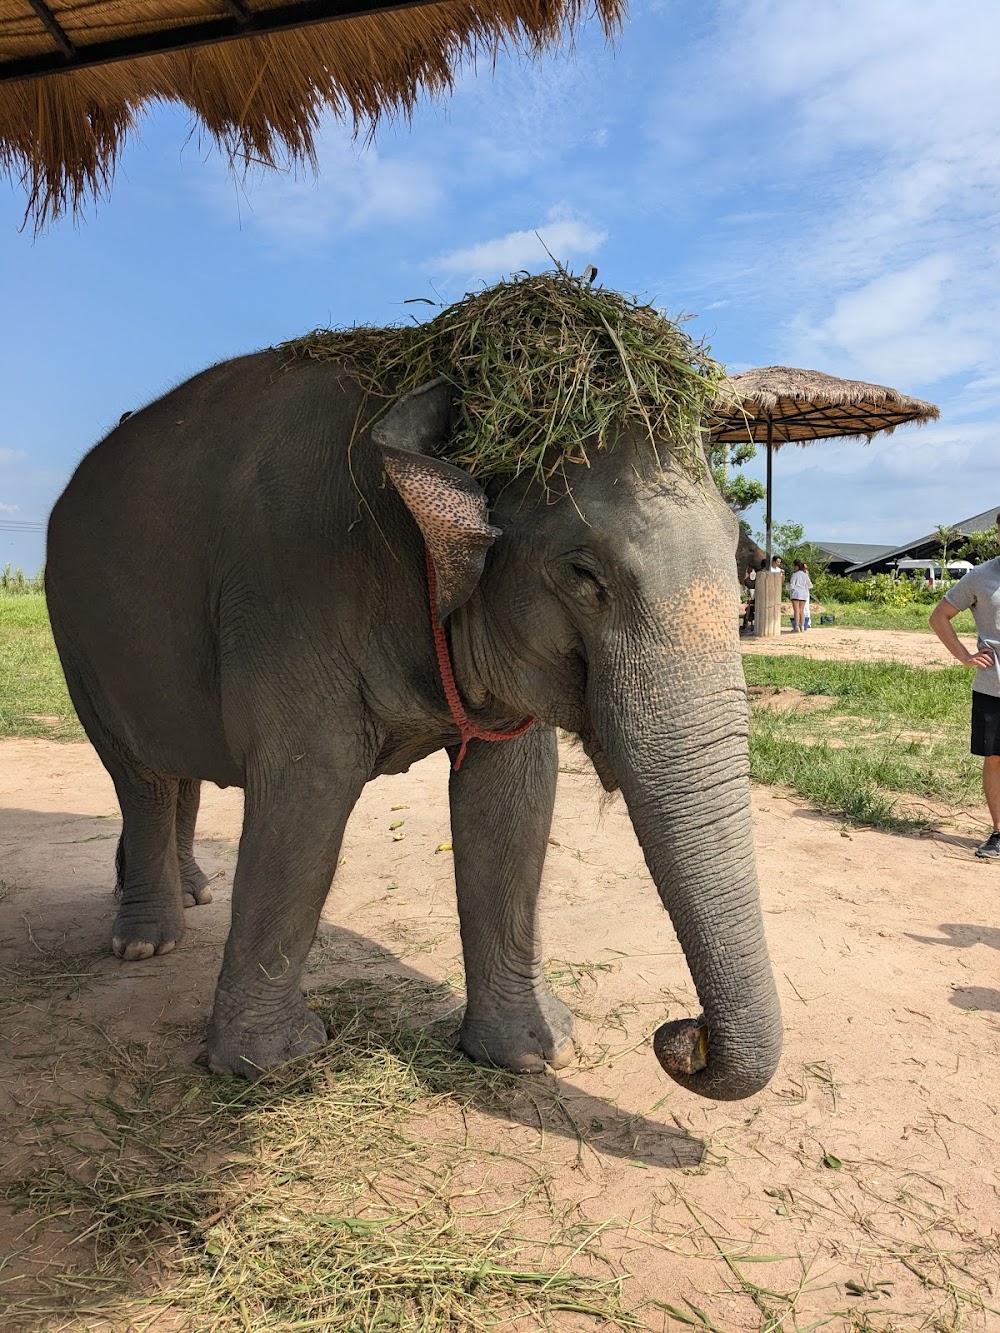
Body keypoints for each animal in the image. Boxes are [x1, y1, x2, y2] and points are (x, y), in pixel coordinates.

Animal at [47, 338, 784, 1098]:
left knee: (176, 769)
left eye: (742, 559)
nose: (680, 1037)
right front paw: (271, 1065)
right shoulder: (287, 599)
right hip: (78, 639)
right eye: (583, 573)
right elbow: (307, 794)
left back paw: (193, 894)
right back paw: (146, 942)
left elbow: (513, 800)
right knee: (140, 777)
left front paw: (536, 1054)